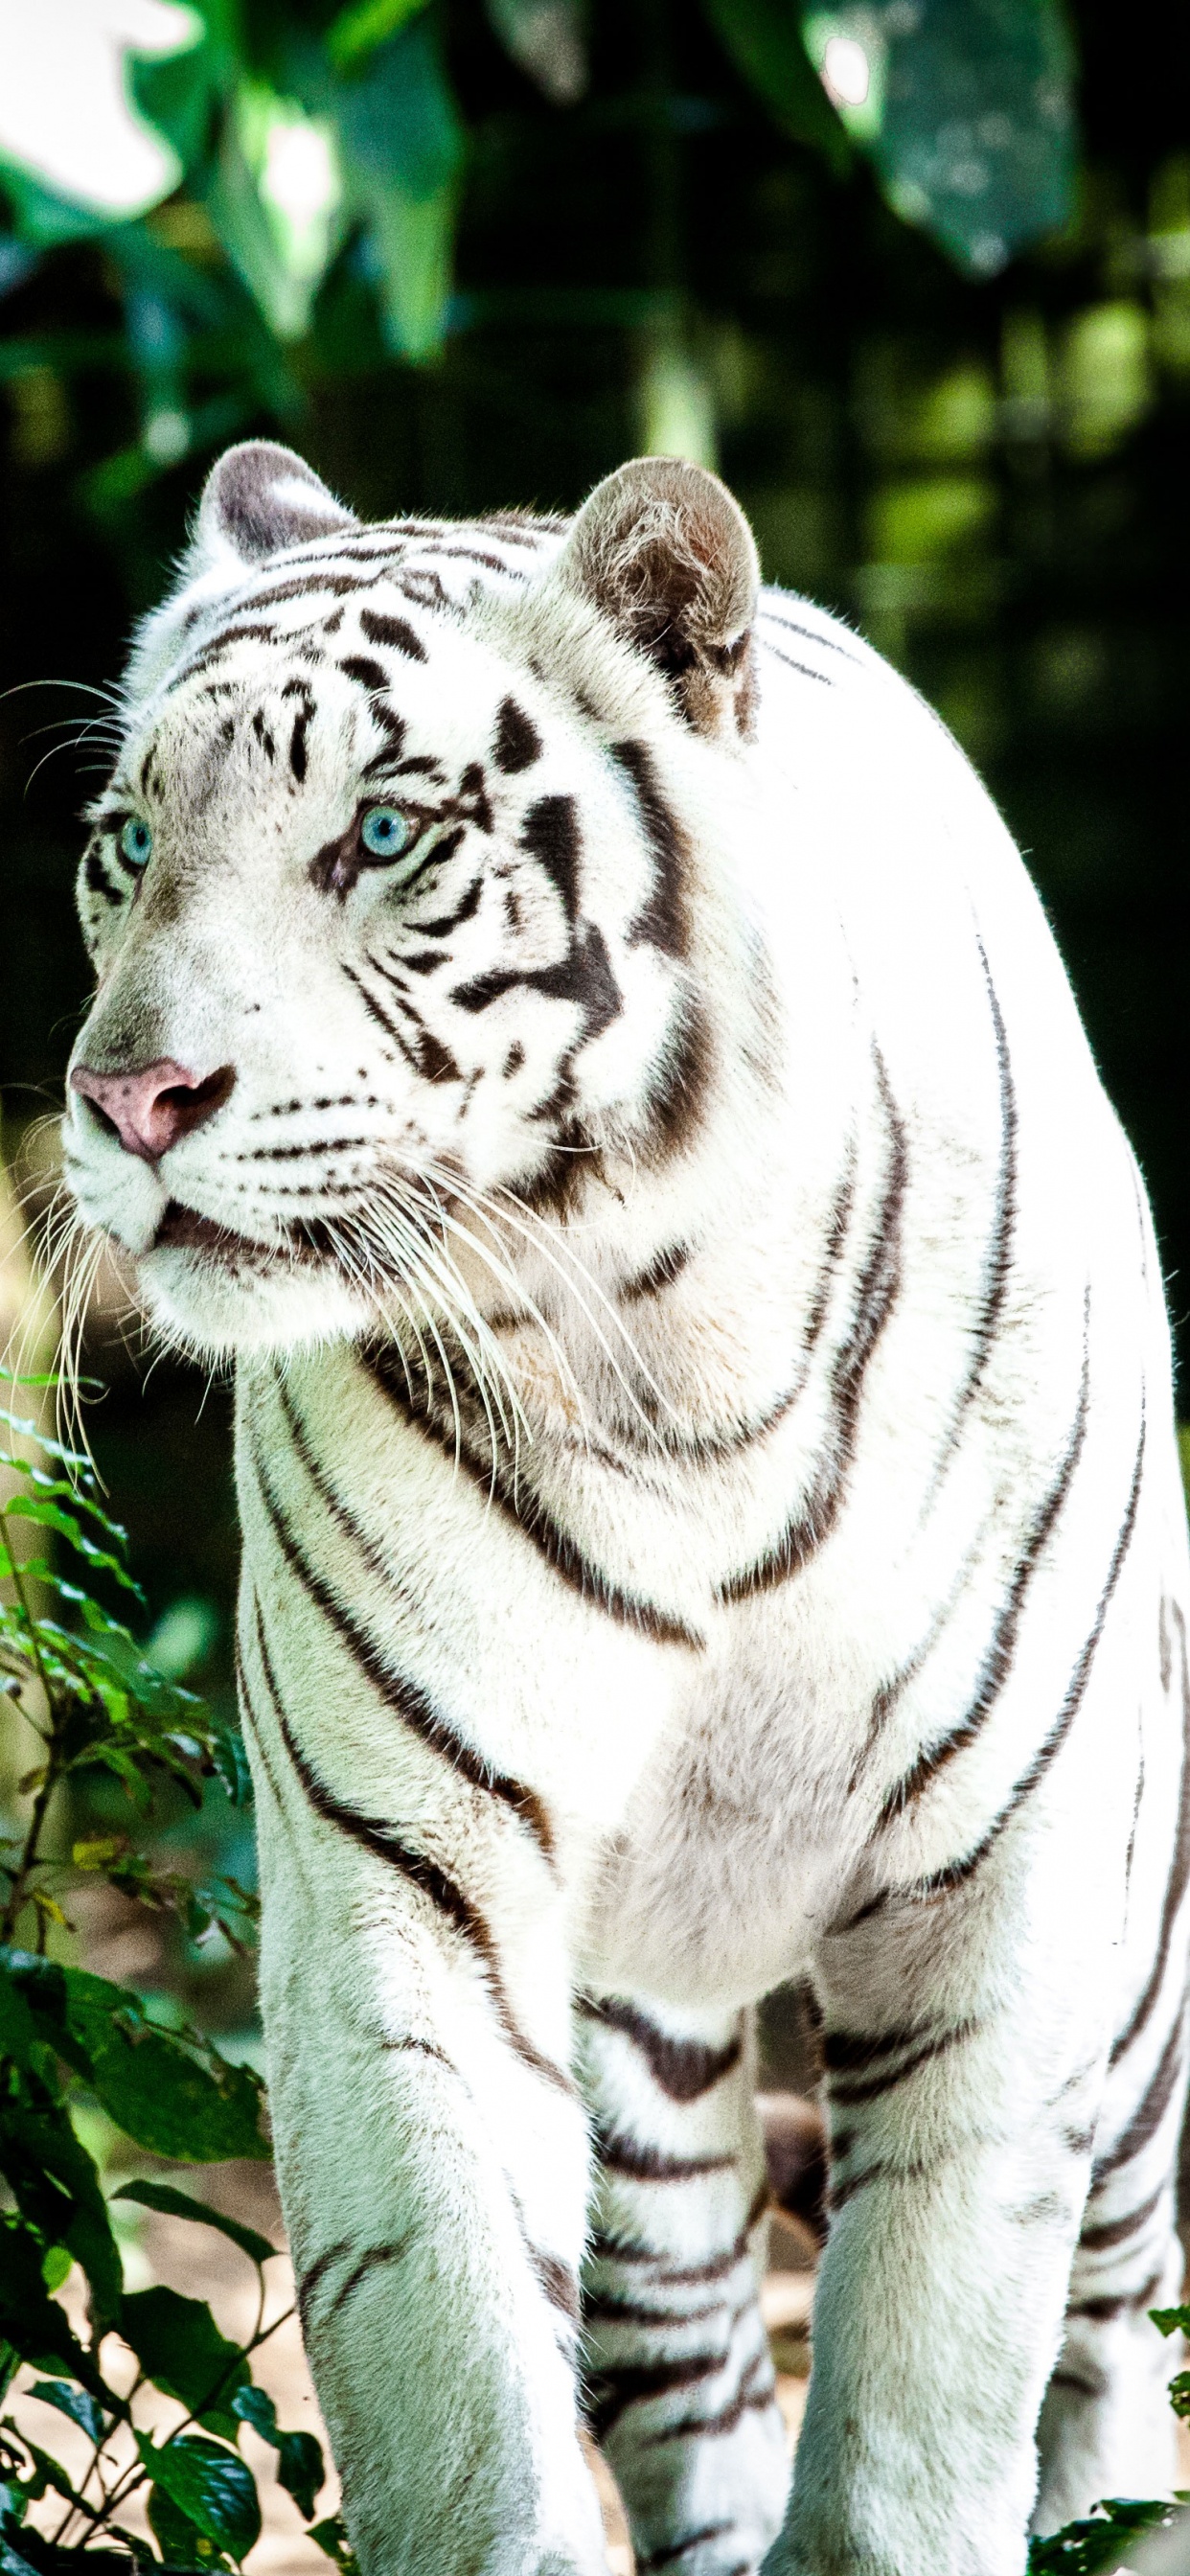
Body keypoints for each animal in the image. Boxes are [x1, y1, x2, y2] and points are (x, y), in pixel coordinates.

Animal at [60, 443, 1184, 2576]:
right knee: (696, 2376)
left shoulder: (1002, 1887)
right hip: (645, 2056)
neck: (665, 1360)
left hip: (1140, 1961)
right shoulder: (403, 1882)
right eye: (127, 841)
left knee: (1118, 2332)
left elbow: (926, 2404)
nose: (127, 1098)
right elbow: (455, 2380)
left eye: (384, 833)